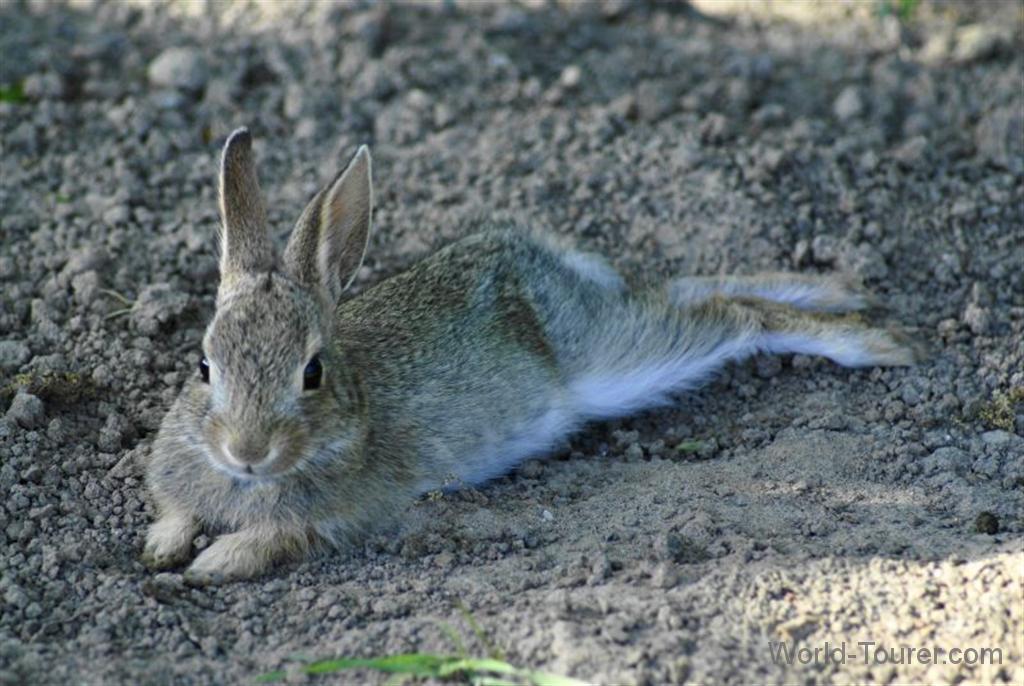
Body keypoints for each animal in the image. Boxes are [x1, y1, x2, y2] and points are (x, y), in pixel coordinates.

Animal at [142, 128, 916, 584]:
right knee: (688, 290)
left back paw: (874, 340)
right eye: (203, 367)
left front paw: (213, 562)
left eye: (312, 373)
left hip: (614, 362)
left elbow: (277, 536)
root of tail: (556, 262)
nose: (246, 452)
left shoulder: (338, 516)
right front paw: (163, 545)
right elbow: (175, 509)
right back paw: (842, 288)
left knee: (734, 318)